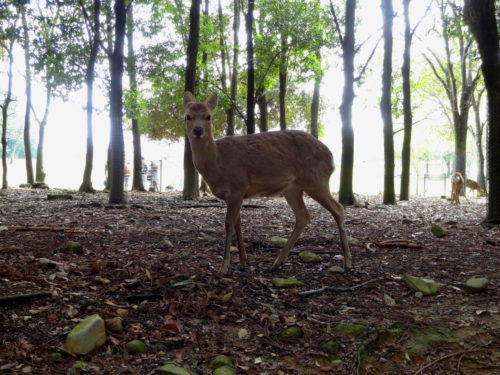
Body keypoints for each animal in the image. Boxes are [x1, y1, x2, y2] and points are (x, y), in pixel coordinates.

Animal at [184, 91, 352, 274]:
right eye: (187, 116)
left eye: (209, 116)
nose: (198, 130)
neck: (217, 163)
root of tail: (332, 158)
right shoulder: (236, 195)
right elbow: (237, 224)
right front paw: (242, 262)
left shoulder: (237, 186)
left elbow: (228, 224)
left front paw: (223, 267)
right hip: (293, 188)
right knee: (303, 216)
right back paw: (277, 262)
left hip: (316, 180)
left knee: (338, 209)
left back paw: (347, 262)